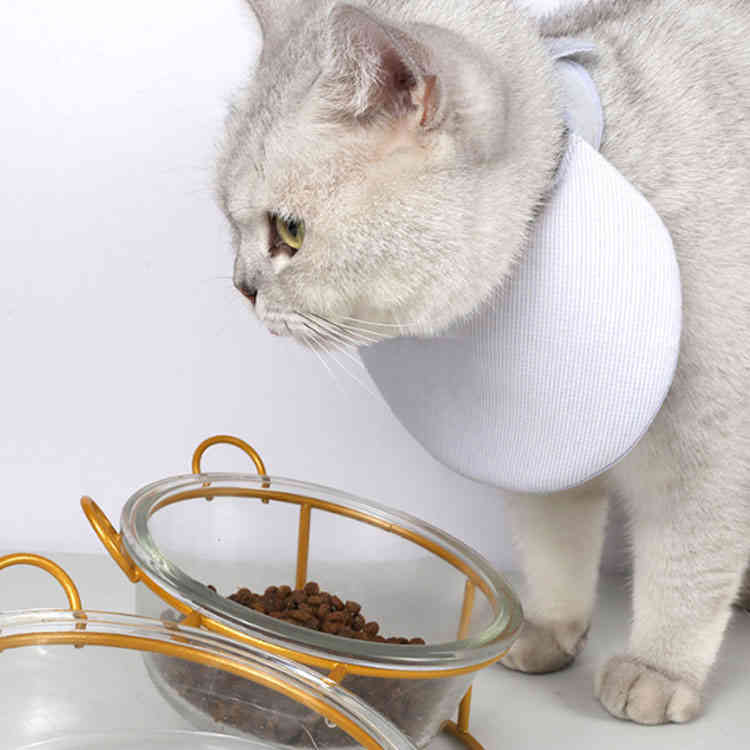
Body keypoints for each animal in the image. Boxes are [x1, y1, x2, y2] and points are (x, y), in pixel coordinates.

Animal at [217, 0, 750, 725]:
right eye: (229, 221)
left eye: (290, 233)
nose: (242, 288)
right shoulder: (544, 451)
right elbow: (555, 546)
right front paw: (551, 630)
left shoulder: (707, 446)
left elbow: (687, 566)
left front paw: (658, 669)